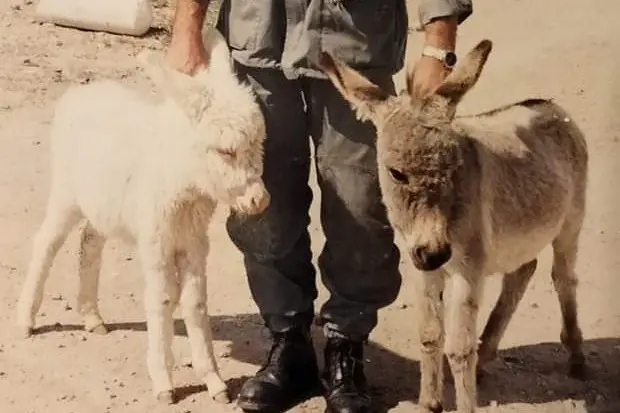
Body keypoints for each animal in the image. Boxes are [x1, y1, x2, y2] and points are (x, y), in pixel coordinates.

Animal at [318, 39, 588, 412]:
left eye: (455, 167)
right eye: (396, 173)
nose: (435, 254)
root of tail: (546, 103)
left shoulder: (467, 267)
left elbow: (459, 348)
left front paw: (463, 401)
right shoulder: (419, 265)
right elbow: (430, 336)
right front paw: (429, 402)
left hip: (570, 224)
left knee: (563, 278)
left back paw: (576, 357)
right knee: (523, 271)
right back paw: (486, 355)